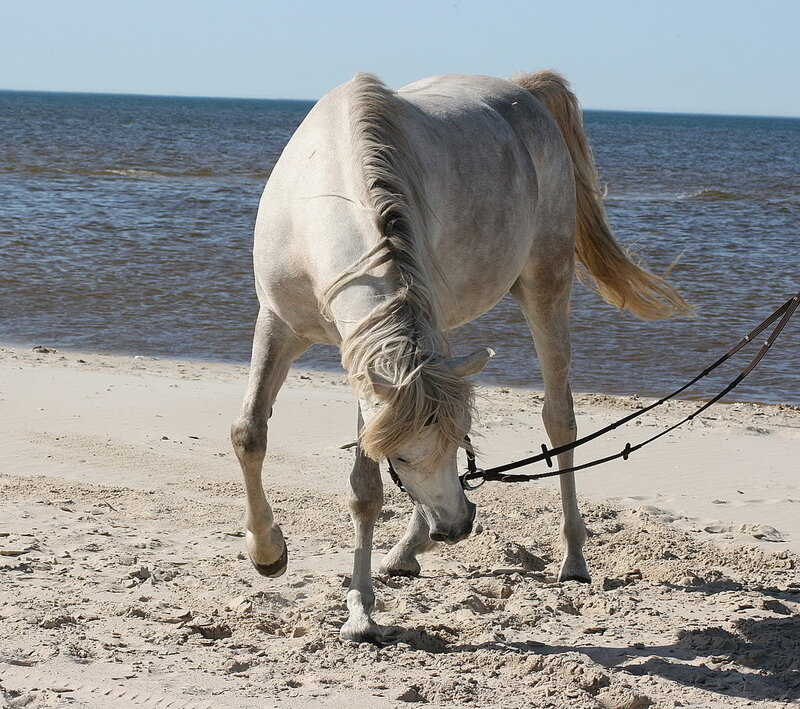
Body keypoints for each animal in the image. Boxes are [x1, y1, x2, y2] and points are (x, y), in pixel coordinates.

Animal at [231, 70, 691, 643]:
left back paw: (571, 559)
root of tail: (524, 91)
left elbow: (365, 489)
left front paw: (360, 611)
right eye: (404, 458)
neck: (328, 195)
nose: (456, 527)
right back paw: (410, 548)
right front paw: (268, 553)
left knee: (560, 418)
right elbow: (250, 434)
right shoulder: (279, 324)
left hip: (546, 285)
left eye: (462, 442)